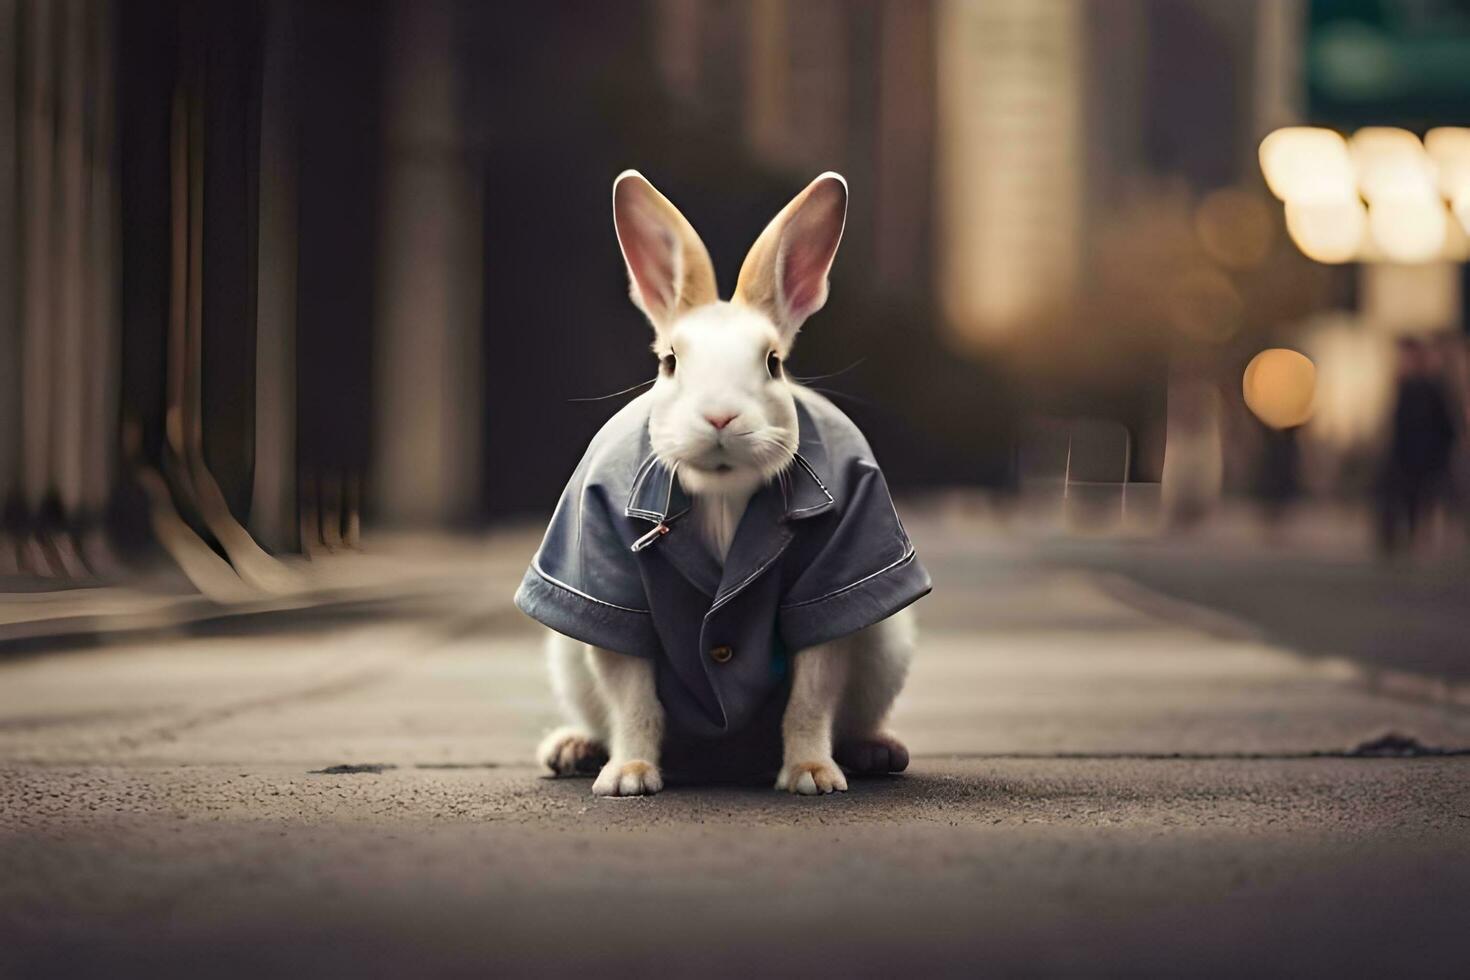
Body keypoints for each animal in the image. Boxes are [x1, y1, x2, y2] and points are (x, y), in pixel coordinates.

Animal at [520, 168, 929, 799]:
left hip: (888, 644)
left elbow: (812, 693)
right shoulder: (611, 587)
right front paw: (629, 777)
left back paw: (878, 751)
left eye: (773, 364)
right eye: (669, 363)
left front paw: (812, 775)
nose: (719, 417)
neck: (719, 494)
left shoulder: (832, 580)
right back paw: (571, 749)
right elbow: (633, 698)